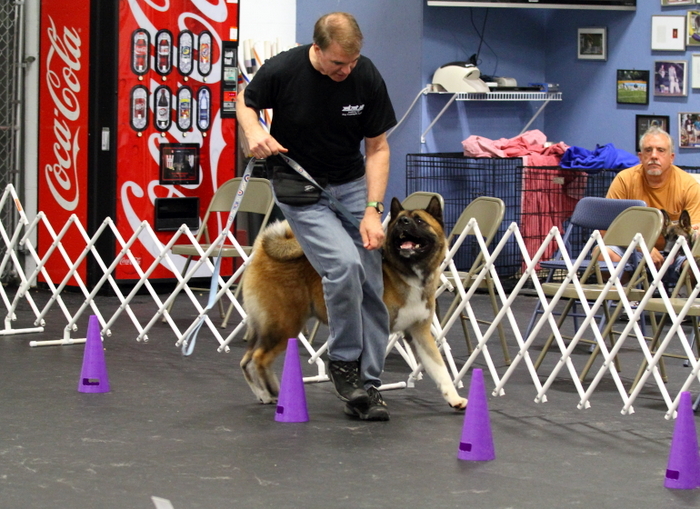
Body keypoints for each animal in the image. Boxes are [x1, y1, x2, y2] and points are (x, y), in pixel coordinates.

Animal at [238, 194, 468, 408]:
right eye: (398, 221)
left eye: (419, 220)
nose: (403, 222)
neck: (406, 272)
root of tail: (264, 252)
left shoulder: (420, 333)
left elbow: (440, 369)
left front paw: (454, 398)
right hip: (285, 325)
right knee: (259, 359)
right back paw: (274, 391)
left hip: (265, 327)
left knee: (247, 361)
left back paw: (264, 395)